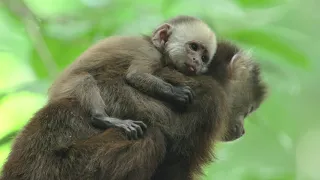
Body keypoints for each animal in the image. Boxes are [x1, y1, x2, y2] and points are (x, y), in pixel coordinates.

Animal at [0, 41, 268, 180]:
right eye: (248, 110)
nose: (242, 129)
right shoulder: (211, 103)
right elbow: (174, 167)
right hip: (64, 171)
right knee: (149, 137)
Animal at [48, 15, 218, 139]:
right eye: (194, 47)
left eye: (204, 58)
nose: (197, 62)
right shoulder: (150, 53)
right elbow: (135, 76)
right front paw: (177, 93)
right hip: (65, 88)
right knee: (84, 78)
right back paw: (102, 118)